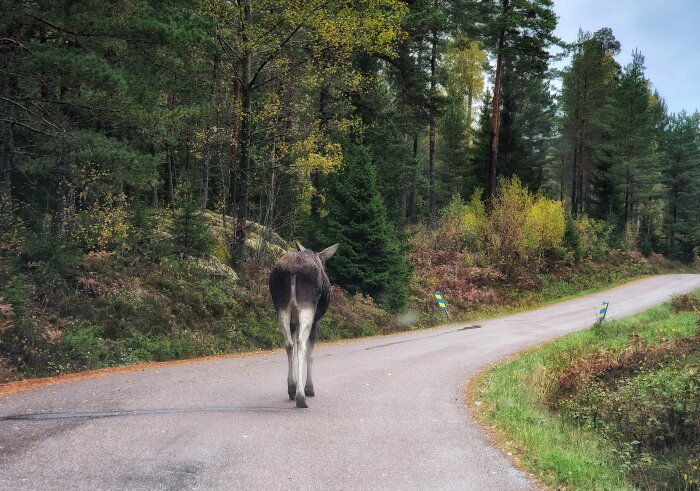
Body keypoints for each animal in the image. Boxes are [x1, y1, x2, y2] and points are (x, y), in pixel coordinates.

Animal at [268, 242, 340, 408]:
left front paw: (294, 385)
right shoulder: (316, 321)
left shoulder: (293, 322)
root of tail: (293, 268)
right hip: (307, 308)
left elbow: (293, 348)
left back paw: (291, 388)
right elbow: (310, 354)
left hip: (282, 308)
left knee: (289, 344)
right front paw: (309, 388)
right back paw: (301, 396)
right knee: (301, 343)